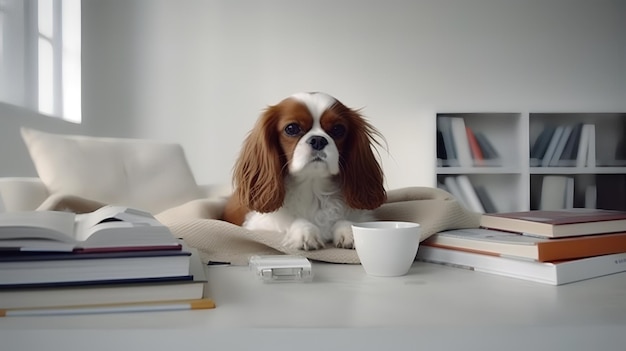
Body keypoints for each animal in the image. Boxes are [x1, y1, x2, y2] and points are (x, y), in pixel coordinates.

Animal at [219, 92, 386, 252]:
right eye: (291, 128)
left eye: (338, 129)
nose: (318, 140)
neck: (312, 186)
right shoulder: (258, 223)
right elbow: (289, 221)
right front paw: (305, 232)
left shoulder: (363, 215)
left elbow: (348, 221)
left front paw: (351, 232)